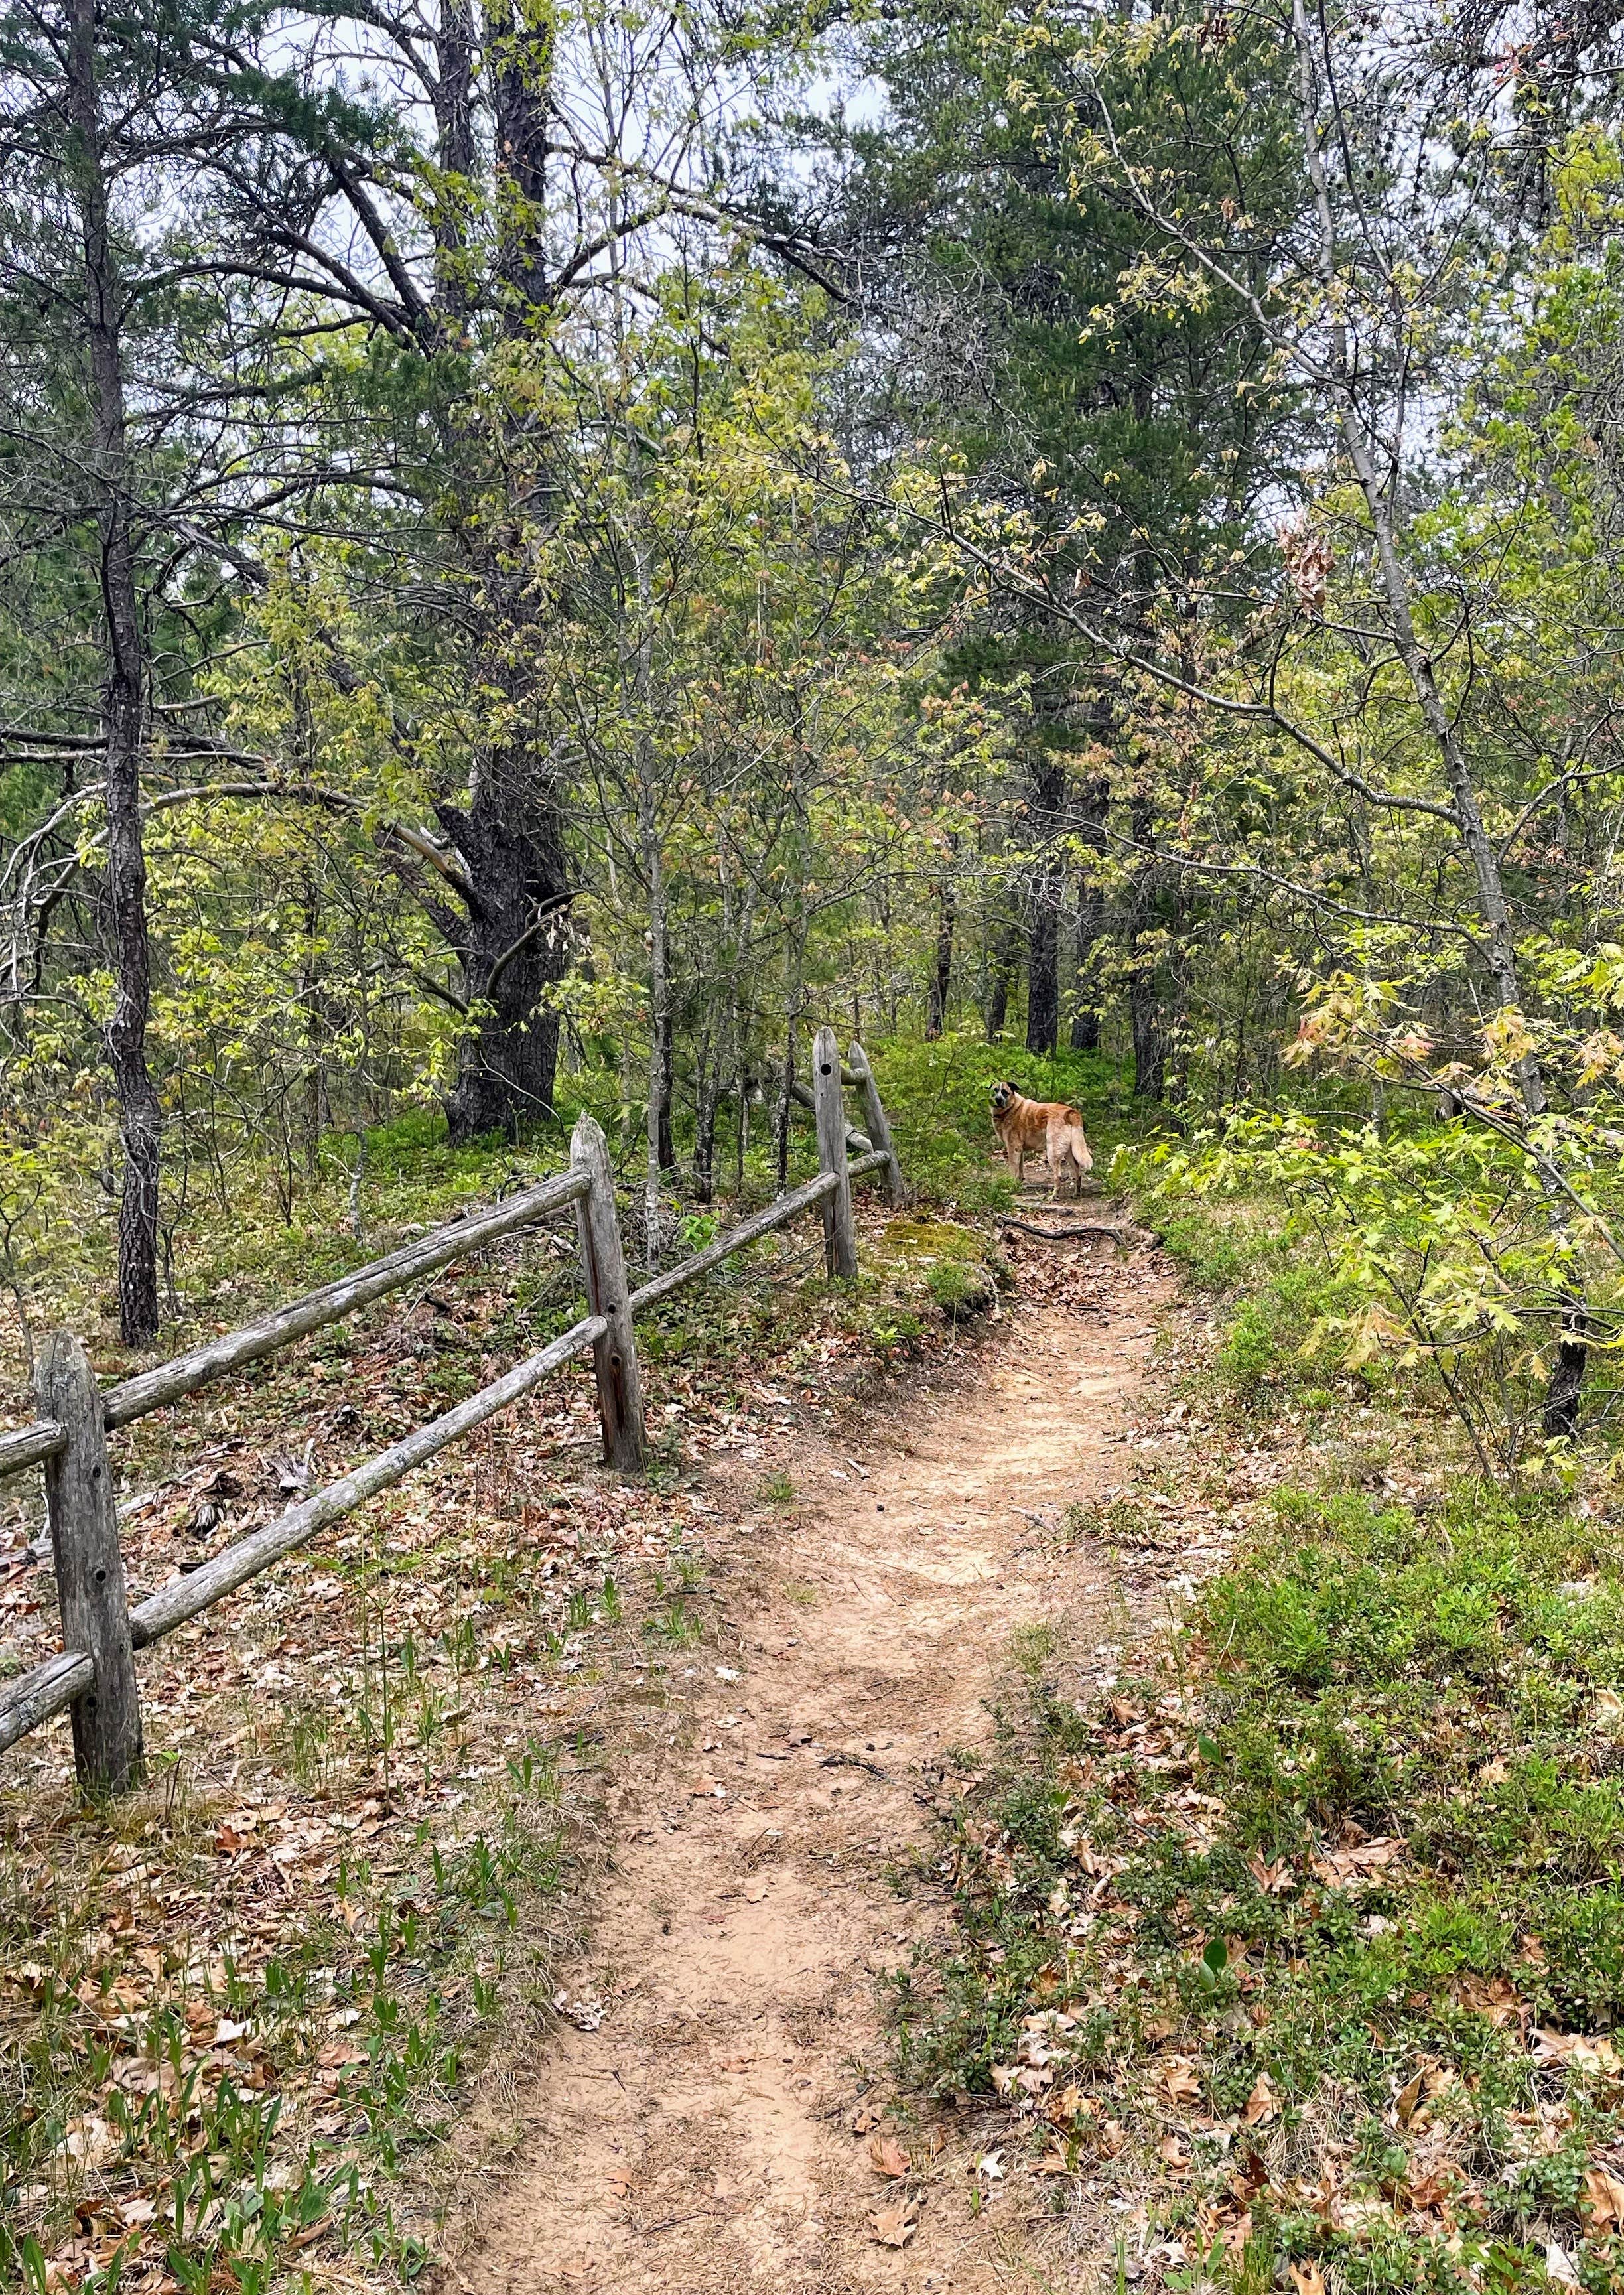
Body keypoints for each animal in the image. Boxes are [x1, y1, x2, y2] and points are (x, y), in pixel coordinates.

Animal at [990, 1083, 1091, 1212]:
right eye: (995, 1090)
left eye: (1005, 1093)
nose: (998, 1100)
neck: (1011, 1108)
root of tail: (1070, 1111)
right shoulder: (1020, 1152)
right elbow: (1020, 1171)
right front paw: (1019, 1185)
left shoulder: (1013, 1150)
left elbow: (1014, 1172)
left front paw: (1011, 1187)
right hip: (1070, 1153)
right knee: (1078, 1173)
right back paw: (1076, 1194)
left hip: (1052, 1152)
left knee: (1058, 1177)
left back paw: (1053, 1197)